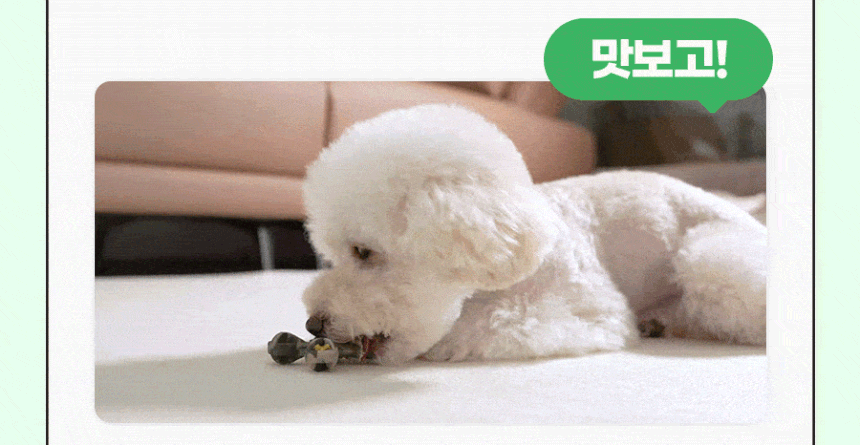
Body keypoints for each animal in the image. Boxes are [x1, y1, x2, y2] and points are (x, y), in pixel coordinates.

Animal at [301, 104, 766, 364]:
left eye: (363, 252)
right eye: (329, 255)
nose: (312, 323)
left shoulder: (586, 311)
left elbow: (491, 322)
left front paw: (447, 339)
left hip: (708, 259)